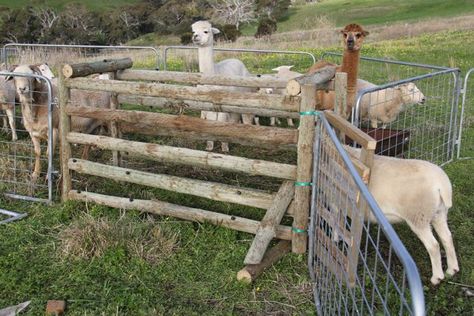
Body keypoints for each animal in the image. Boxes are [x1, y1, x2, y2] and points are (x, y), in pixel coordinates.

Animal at [191, 19, 256, 153]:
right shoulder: (205, 105)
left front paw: (224, 147)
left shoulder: (221, 106)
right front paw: (209, 146)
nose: (195, 37)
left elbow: (221, 121)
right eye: (193, 31)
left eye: (206, 31)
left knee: (245, 116)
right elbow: (208, 121)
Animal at [344, 144, 460, 286]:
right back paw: (452, 270)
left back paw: (437, 277)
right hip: (439, 214)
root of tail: (442, 184)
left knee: (433, 245)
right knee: (447, 237)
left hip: (418, 216)